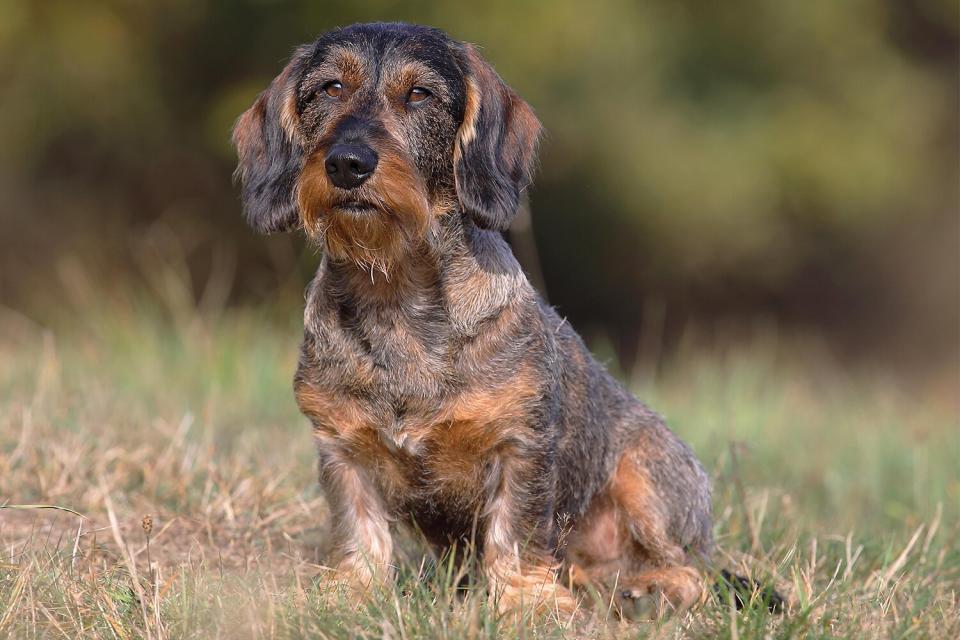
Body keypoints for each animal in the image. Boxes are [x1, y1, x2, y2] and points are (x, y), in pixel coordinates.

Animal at [231, 22, 712, 616]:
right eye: (329, 88)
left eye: (420, 94)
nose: (346, 163)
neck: (397, 296)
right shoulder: (341, 446)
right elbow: (358, 525)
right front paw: (353, 591)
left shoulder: (521, 445)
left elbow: (517, 531)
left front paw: (528, 602)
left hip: (645, 476)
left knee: (691, 571)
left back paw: (646, 590)